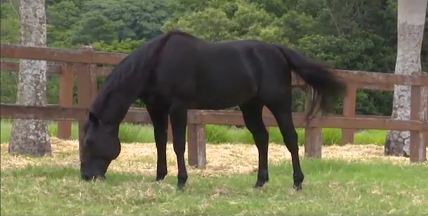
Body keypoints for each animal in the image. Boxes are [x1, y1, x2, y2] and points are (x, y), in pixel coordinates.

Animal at [81, 30, 348, 191]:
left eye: (89, 142)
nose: (86, 176)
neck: (157, 62)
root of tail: (277, 51)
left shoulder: (178, 107)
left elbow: (179, 144)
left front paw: (181, 181)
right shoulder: (155, 108)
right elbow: (160, 142)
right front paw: (159, 177)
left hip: (279, 104)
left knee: (290, 138)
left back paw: (297, 182)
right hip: (251, 106)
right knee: (262, 139)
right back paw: (259, 182)